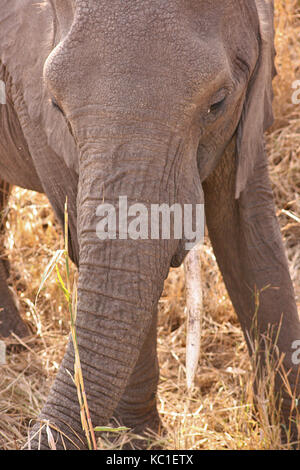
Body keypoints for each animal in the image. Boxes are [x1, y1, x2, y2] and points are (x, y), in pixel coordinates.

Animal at [0, 0, 300, 450]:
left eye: (217, 103)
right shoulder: (33, 108)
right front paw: (137, 440)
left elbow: (251, 231)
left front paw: (287, 429)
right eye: (56, 106)